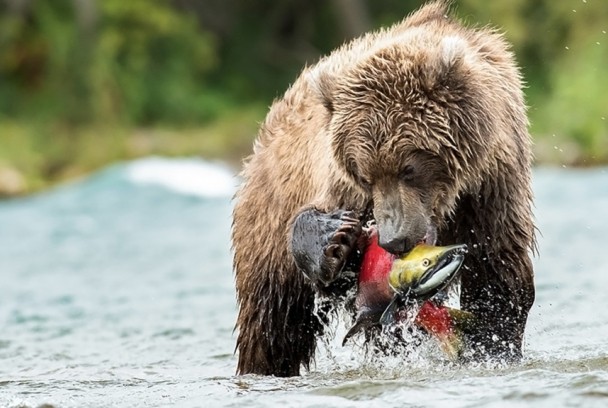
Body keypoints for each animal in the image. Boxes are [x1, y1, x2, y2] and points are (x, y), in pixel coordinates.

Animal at [230, 0, 536, 376]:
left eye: (409, 167)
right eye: (364, 175)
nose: (394, 239)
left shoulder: (493, 184)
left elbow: (499, 272)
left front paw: (491, 345)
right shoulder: (340, 187)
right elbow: (335, 270)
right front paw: (335, 239)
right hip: (266, 232)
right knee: (272, 326)